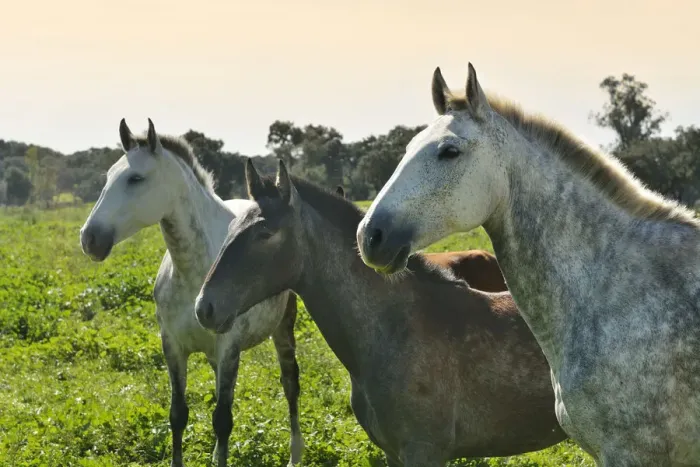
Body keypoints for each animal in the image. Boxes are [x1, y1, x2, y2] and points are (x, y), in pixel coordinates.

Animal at [79, 120, 304, 467]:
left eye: (136, 178)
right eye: (107, 177)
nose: (89, 238)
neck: (193, 271)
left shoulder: (228, 347)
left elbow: (222, 419)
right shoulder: (172, 345)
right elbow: (178, 415)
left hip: (283, 328)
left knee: (290, 382)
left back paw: (295, 454)